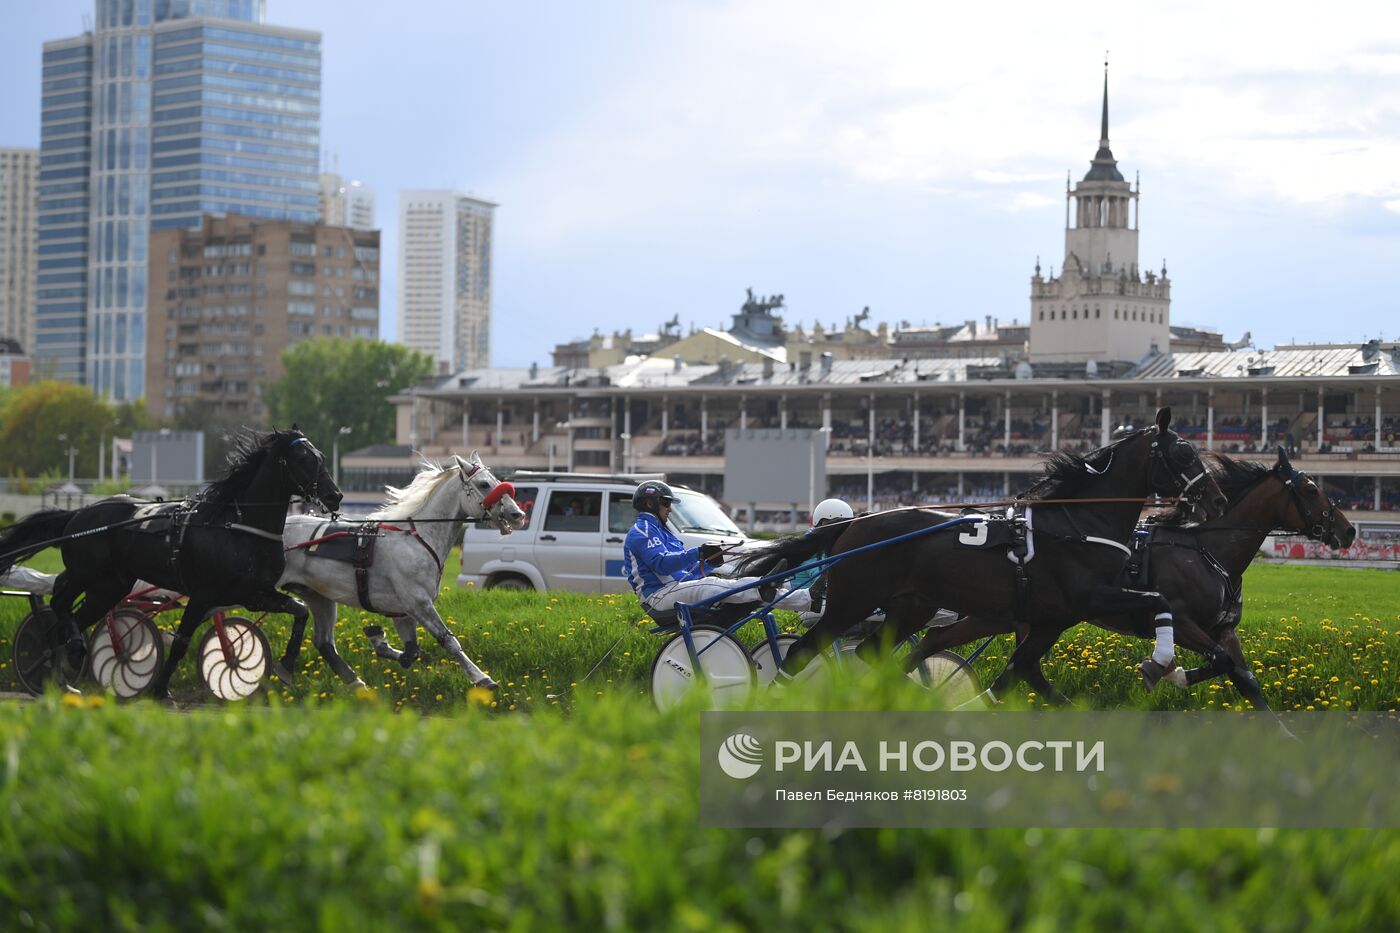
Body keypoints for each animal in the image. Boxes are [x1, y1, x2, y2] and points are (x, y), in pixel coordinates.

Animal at [0, 428, 338, 697]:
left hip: (108, 587)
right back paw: (68, 653)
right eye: (303, 459)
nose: (335, 495)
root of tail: (79, 513)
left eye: (321, 455)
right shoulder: (203, 594)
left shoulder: (254, 595)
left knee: (69, 614)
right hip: (86, 571)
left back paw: (62, 672)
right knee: (59, 599)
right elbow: (181, 643)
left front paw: (287, 665)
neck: (237, 527)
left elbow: (300, 610)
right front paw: (160, 690)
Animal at [275, 453, 526, 686]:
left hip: (319, 596)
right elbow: (448, 641)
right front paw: (481, 677)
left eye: (497, 481)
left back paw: (355, 682)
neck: (417, 539)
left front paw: (379, 640)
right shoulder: (418, 602)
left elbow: (411, 652)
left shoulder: (403, 610)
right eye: (484, 484)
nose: (518, 515)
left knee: (324, 642)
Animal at [750, 406, 1220, 697]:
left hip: (911, 606)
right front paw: (1160, 663)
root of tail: (851, 523)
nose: (1216, 499)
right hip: (853, 600)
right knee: (801, 652)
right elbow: (1160, 600)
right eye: (1185, 452)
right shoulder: (1088, 597)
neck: (1077, 526)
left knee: (871, 653)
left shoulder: (1054, 616)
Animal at [907, 448, 1355, 708]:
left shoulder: (1223, 629)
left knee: (983, 655)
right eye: (1311, 489)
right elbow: (1221, 662)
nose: (1349, 531)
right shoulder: (1184, 620)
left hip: (1010, 615)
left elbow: (1245, 679)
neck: (1204, 549)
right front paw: (1168, 672)